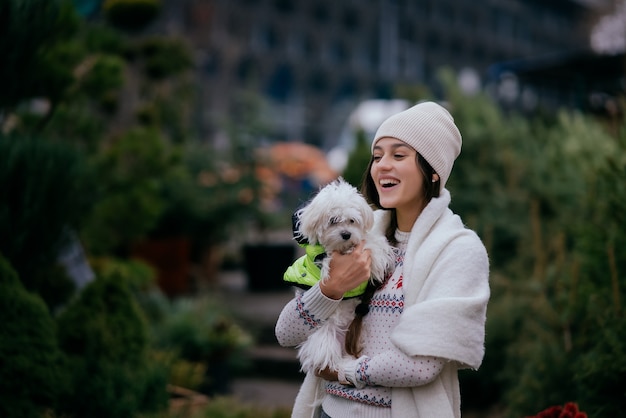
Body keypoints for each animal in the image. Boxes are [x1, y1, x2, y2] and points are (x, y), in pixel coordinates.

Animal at [292, 178, 390, 374]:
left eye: (352, 221)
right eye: (333, 221)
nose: (346, 234)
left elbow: (370, 243)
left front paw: (376, 263)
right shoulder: (324, 259)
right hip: (325, 334)